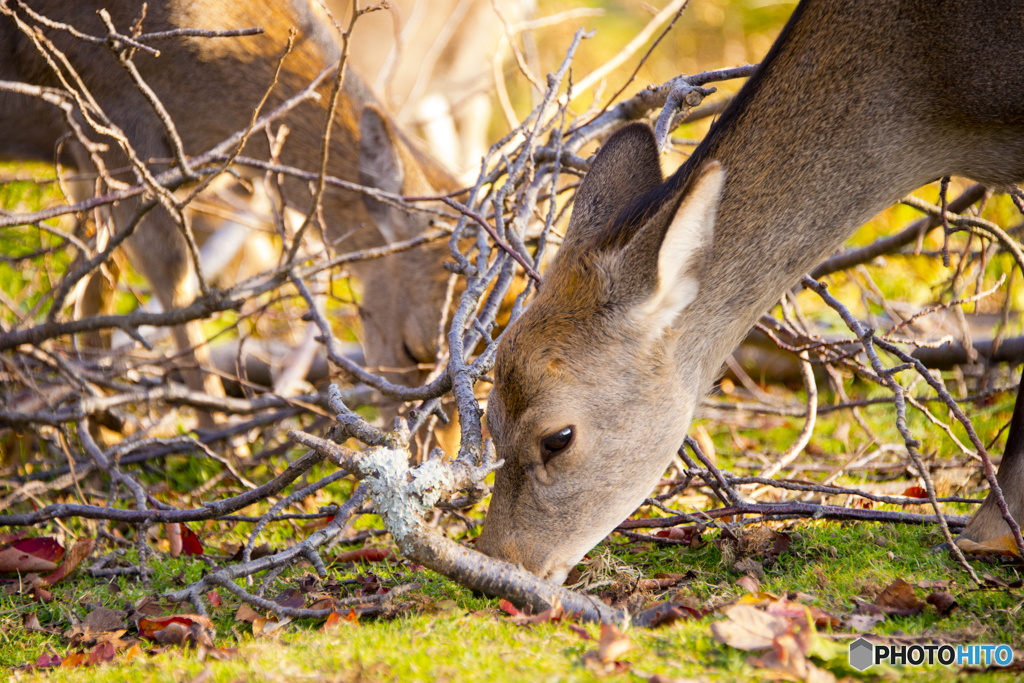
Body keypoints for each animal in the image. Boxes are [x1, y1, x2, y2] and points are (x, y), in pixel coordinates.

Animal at [0, 1, 460, 428]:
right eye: (411, 350)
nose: (427, 452)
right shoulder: (113, 127)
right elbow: (171, 277)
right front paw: (218, 435)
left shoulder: (91, 159)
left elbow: (96, 276)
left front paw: (101, 415)